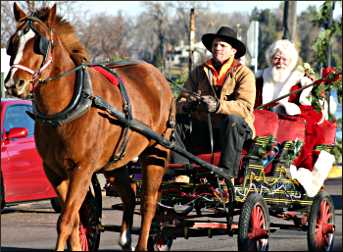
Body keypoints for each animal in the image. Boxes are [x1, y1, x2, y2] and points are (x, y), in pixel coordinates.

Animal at [5, 2, 176, 251]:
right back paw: (125, 238)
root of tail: (157, 75)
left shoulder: (82, 169)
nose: (13, 83)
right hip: (114, 162)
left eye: (41, 44)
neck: (69, 107)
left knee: (148, 203)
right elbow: (76, 220)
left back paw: (142, 243)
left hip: (156, 151)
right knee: (129, 195)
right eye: (12, 43)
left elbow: (66, 220)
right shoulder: (54, 171)